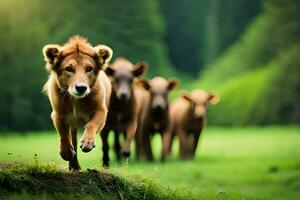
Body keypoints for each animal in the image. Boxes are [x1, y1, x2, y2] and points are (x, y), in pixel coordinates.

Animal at [42, 36, 112, 170]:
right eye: (69, 69)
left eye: (89, 69)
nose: (81, 88)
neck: (75, 100)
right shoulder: (58, 114)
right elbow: (63, 134)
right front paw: (66, 152)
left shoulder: (101, 111)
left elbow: (91, 125)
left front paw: (87, 143)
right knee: (72, 138)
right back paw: (74, 166)